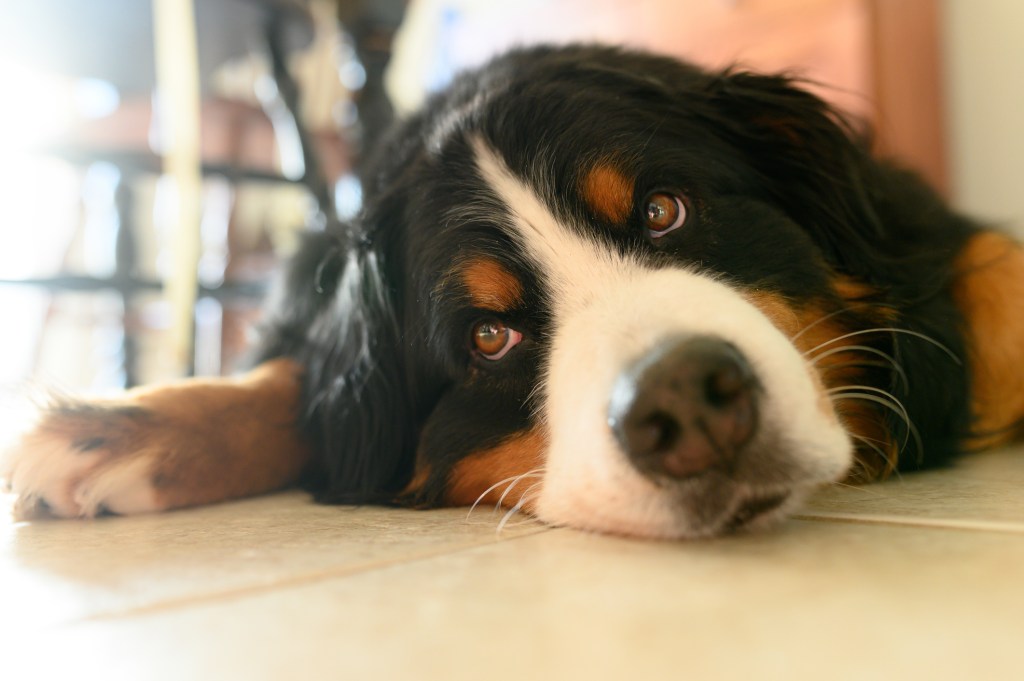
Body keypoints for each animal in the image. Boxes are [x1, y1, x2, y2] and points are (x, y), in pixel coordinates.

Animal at [2, 45, 1024, 540]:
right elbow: (291, 389)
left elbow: (998, 282)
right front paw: (116, 428)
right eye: (489, 337)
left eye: (664, 209)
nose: (688, 403)